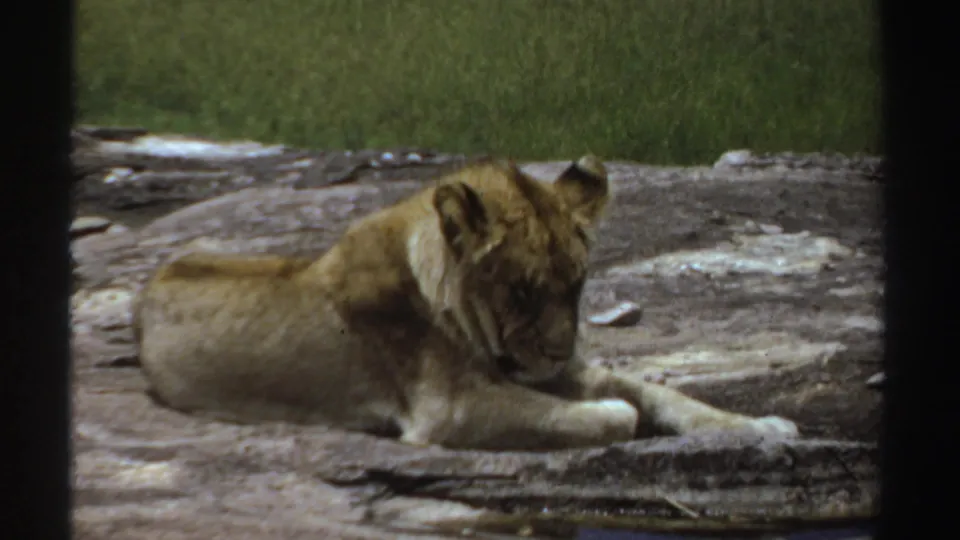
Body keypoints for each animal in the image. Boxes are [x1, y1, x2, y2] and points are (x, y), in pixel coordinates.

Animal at [135, 155, 799, 450]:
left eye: (576, 285)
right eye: (521, 290)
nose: (558, 352)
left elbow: (662, 393)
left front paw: (762, 426)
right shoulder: (448, 408)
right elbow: (599, 413)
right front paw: (613, 415)